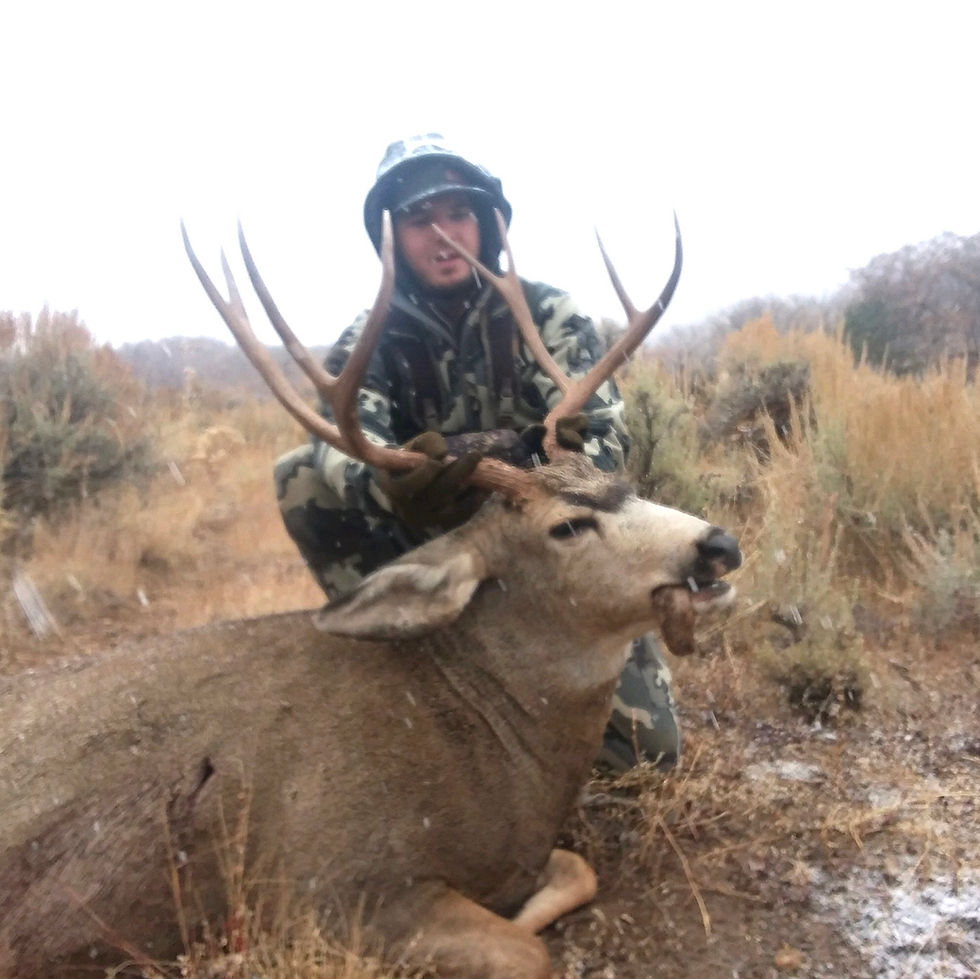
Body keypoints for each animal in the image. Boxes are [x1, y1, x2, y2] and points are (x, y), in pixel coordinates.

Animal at [0, 209, 741, 979]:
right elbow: (527, 950)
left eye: (622, 483)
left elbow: (574, 870)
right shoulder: (326, 885)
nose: (719, 545)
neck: (496, 748)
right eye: (566, 525)